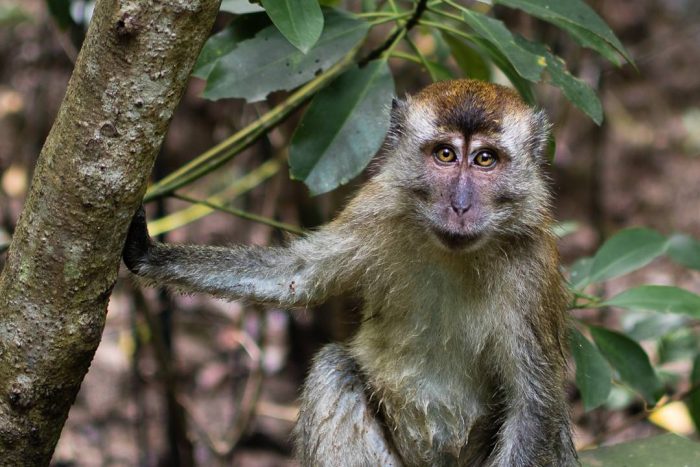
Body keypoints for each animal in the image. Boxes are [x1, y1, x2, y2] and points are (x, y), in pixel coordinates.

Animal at [123, 78, 576, 466]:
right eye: (445, 154)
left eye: (485, 159)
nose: (460, 206)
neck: (452, 252)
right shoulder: (373, 211)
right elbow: (297, 277)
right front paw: (148, 254)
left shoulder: (531, 270)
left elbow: (534, 408)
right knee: (333, 368)